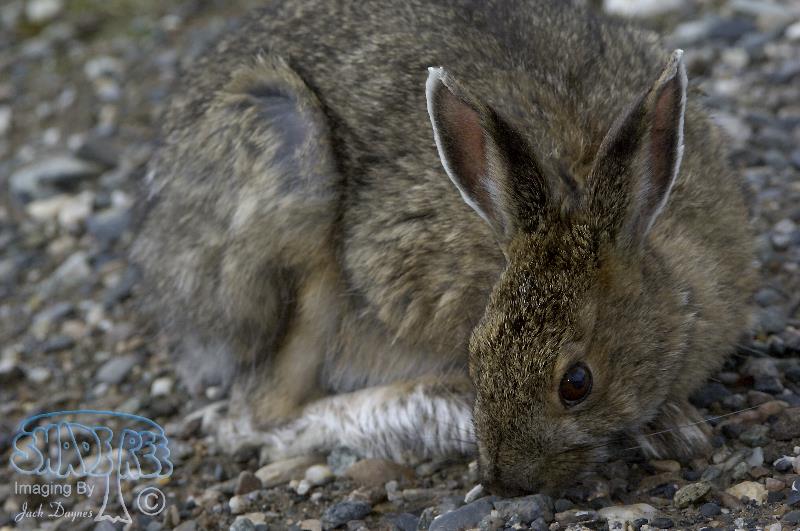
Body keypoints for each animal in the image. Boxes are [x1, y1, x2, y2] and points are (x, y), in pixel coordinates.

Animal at [132, 0, 755, 494]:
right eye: (476, 354)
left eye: (577, 384)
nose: (502, 481)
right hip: (291, 173)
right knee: (257, 417)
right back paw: (435, 409)